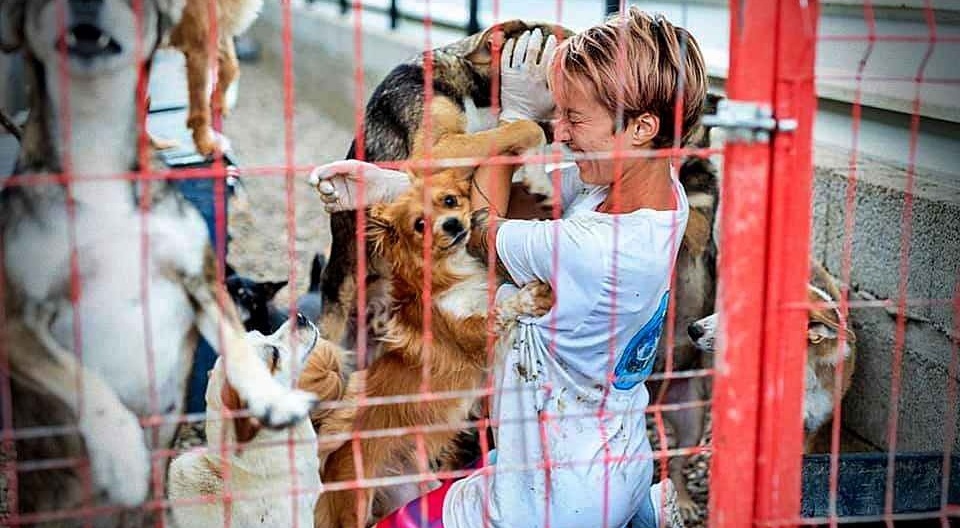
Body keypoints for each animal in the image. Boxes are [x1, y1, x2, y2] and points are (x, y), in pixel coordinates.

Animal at [167, 0, 260, 155]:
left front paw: (218, 102)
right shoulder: (199, 47)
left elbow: (231, 68)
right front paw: (204, 140)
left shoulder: (220, 32)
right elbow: (200, 106)